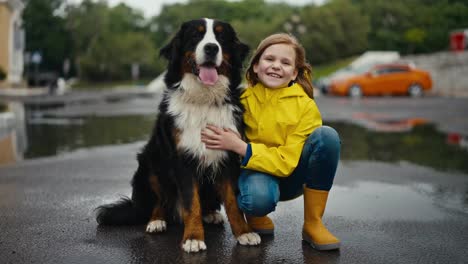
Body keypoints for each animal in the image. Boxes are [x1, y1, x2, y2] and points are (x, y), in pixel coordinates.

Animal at [95, 19, 260, 254]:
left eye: (221, 37)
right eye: (195, 36)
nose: (211, 48)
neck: (203, 100)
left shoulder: (227, 157)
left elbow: (232, 201)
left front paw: (244, 233)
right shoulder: (183, 159)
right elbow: (191, 203)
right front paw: (193, 238)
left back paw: (210, 214)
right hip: (150, 163)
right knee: (159, 201)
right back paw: (157, 221)